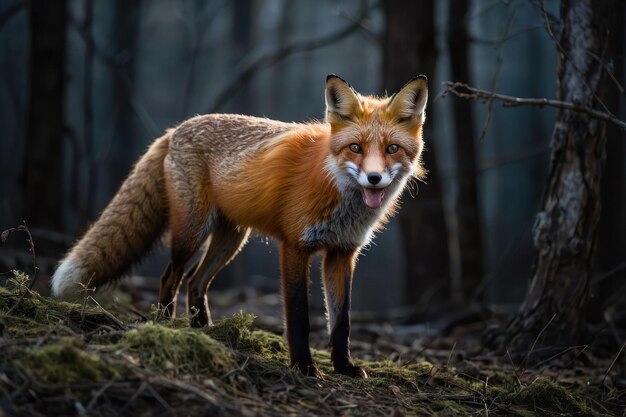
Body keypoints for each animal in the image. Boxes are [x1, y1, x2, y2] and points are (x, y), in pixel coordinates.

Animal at [51, 75, 426, 376]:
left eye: (392, 148)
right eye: (355, 148)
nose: (374, 179)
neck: (334, 187)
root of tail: (176, 129)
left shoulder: (341, 253)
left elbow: (342, 321)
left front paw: (344, 367)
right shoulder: (294, 247)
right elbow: (300, 317)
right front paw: (304, 367)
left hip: (231, 239)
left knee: (195, 281)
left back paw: (204, 331)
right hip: (191, 232)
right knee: (170, 276)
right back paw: (166, 326)